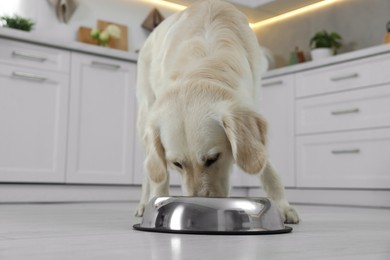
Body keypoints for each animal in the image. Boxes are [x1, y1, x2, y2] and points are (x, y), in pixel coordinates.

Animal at [134, 0, 298, 223]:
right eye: (177, 163)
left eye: (213, 158)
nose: (199, 208)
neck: (204, 65)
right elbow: (159, 174)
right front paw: (157, 201)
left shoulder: (252, 103)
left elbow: (266, 164)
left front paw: (282, 206)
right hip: (146, 111)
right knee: (150, 168)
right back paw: (144, 203)